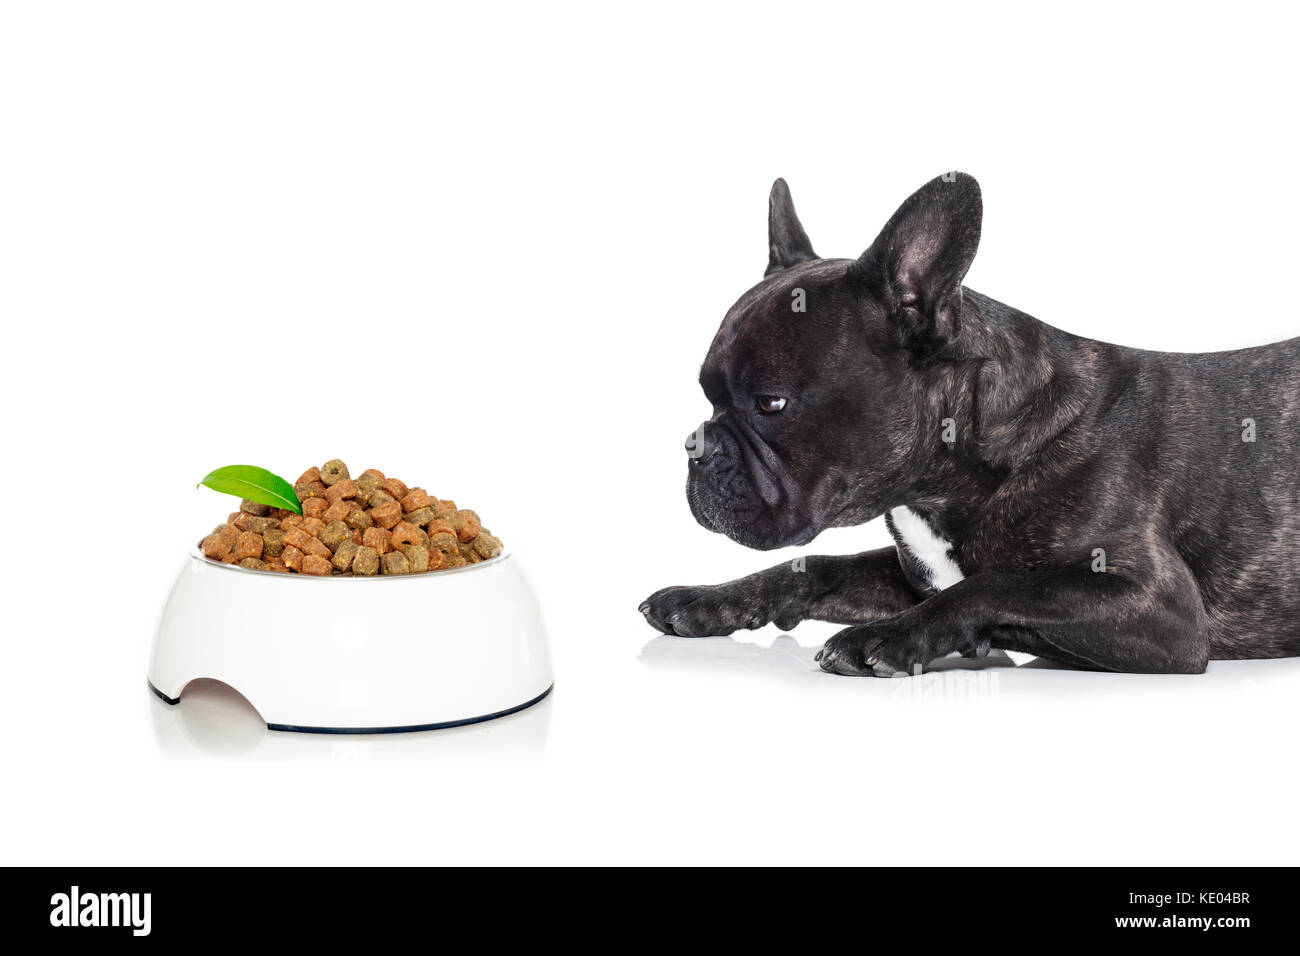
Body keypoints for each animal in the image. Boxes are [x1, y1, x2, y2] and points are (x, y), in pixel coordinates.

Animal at [639, 174, 1300, 681]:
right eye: (707, 395)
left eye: (771, 404)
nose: (696, 446)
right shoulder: (912, 570)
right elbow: (816, 567)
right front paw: (708, 600)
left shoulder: (1160, 608)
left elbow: (997, 585)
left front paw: (888, 637)